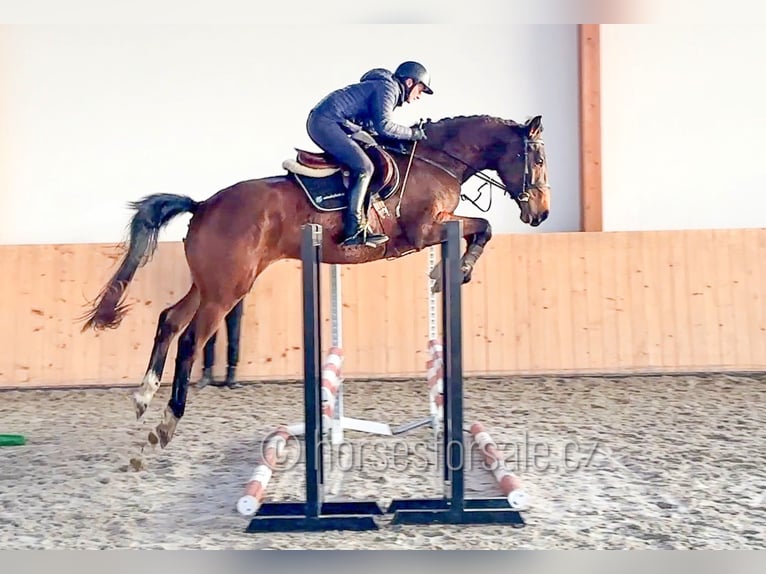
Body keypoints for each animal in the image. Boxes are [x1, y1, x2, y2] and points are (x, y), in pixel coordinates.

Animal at [82, 113, 551, 449]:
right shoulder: (425, 229)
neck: (439, 161)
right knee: (191, 340)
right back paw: (167, 422)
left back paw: (144, 397)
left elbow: (481, 227)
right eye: (539, 160)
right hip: (228, 290)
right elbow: (484, 226)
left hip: (210, 283)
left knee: (169, 319)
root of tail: (203, 205)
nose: (541, 213)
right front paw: (456, 271)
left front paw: (452, 271)